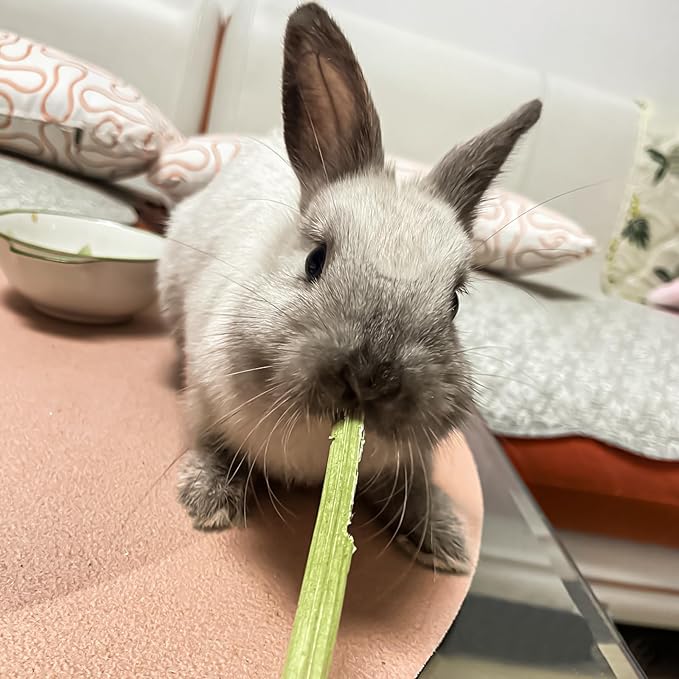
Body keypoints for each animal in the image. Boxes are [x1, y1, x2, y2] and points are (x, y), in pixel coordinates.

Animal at [157, 2, 541, 573]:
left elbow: (413, 487)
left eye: (454, 302)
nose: (371, 378)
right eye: (315, 260)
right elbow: (214, 444)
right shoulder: (205, 394)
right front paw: (210, 502)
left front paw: (447, 541)